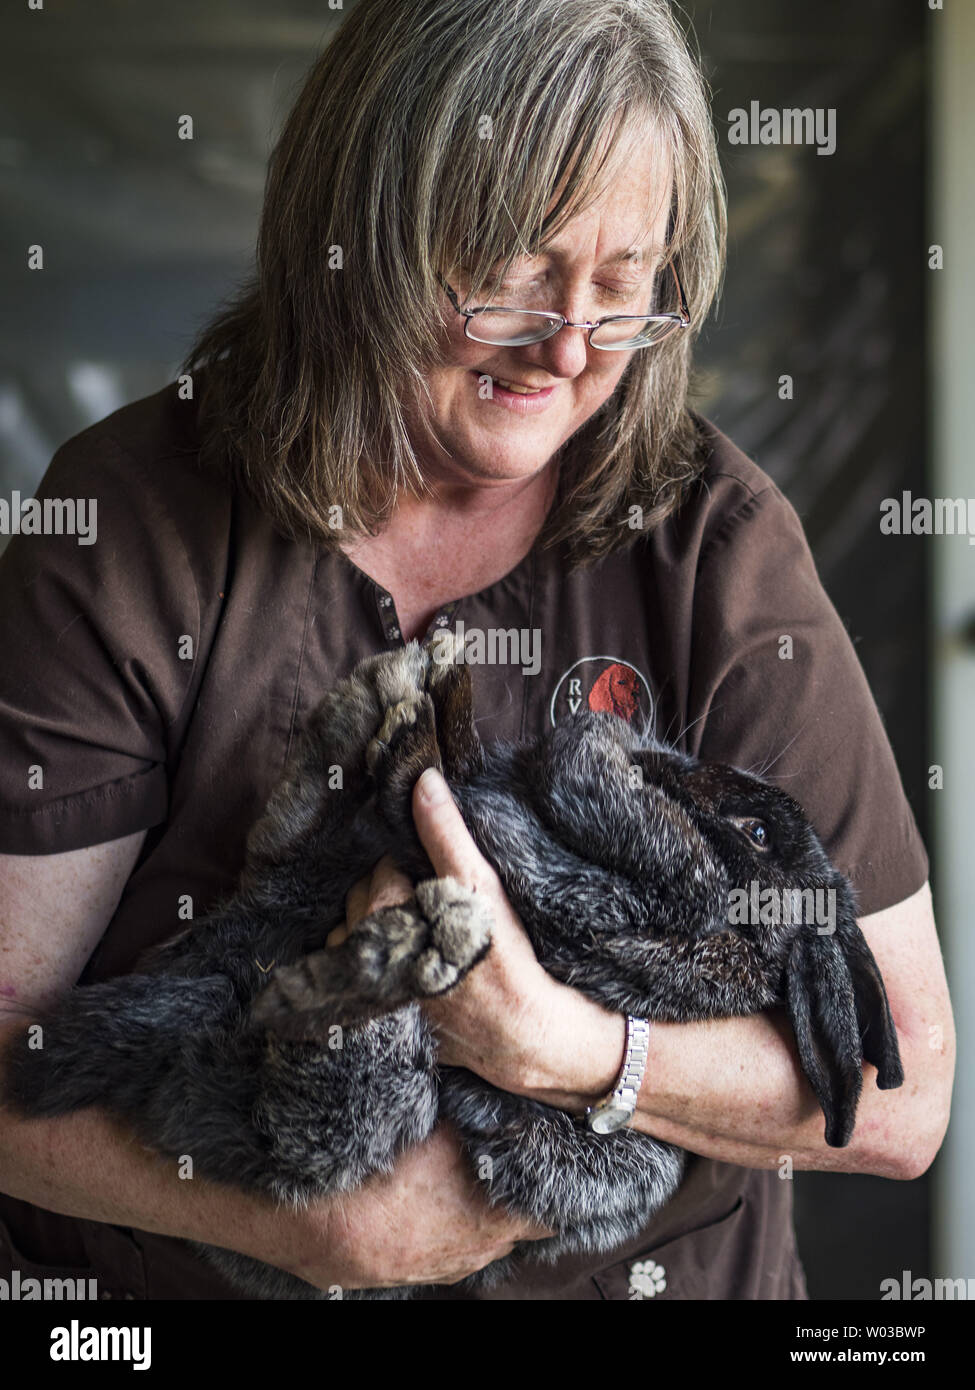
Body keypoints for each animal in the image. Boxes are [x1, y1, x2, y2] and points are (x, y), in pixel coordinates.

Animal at [0, 636, 901, 1295]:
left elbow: (498, 796)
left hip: (362, 1104)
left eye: (757, 835)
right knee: (298, 832)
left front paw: (577, 745)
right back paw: (395, 692)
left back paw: (381, 945)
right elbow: (453, 781)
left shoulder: (601, 899)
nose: (655, 760)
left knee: (300, 1099)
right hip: (290, 892)